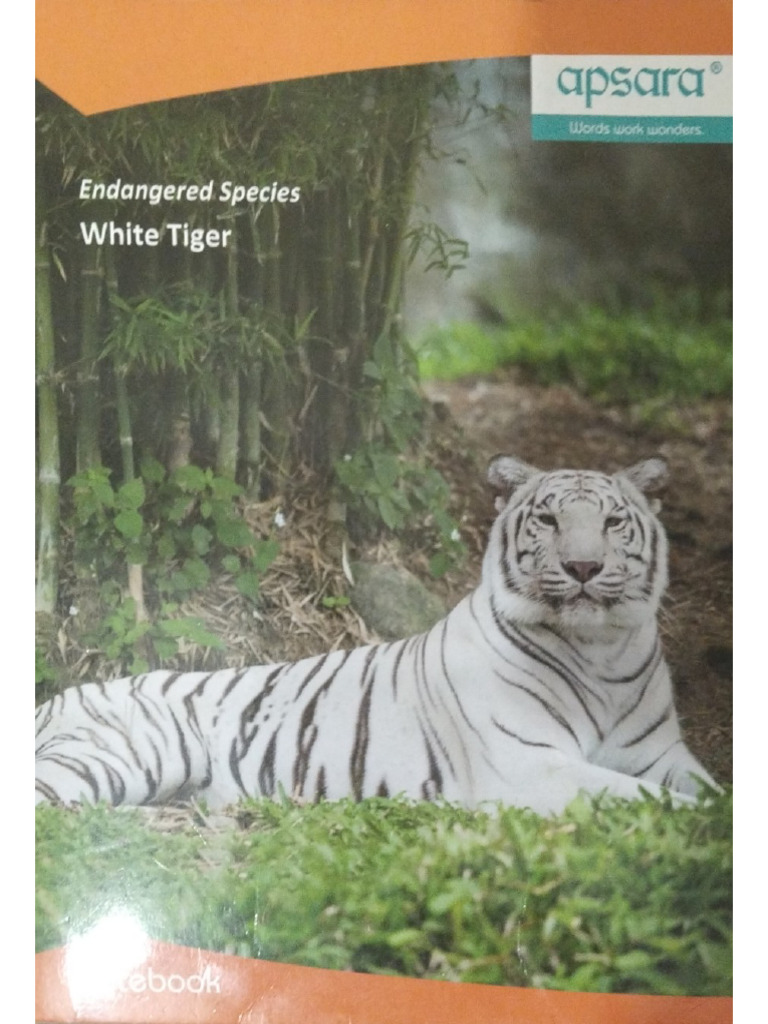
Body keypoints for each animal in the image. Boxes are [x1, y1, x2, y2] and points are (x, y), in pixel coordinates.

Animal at [35, 454, 718, 816]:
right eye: (548, 519)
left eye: (613, 523)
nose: (582, 567)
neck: (600, 648)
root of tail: (55, 698)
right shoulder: (529, 765)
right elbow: (644, 800)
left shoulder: (662, 756)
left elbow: (707, 789)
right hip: (120, 754)